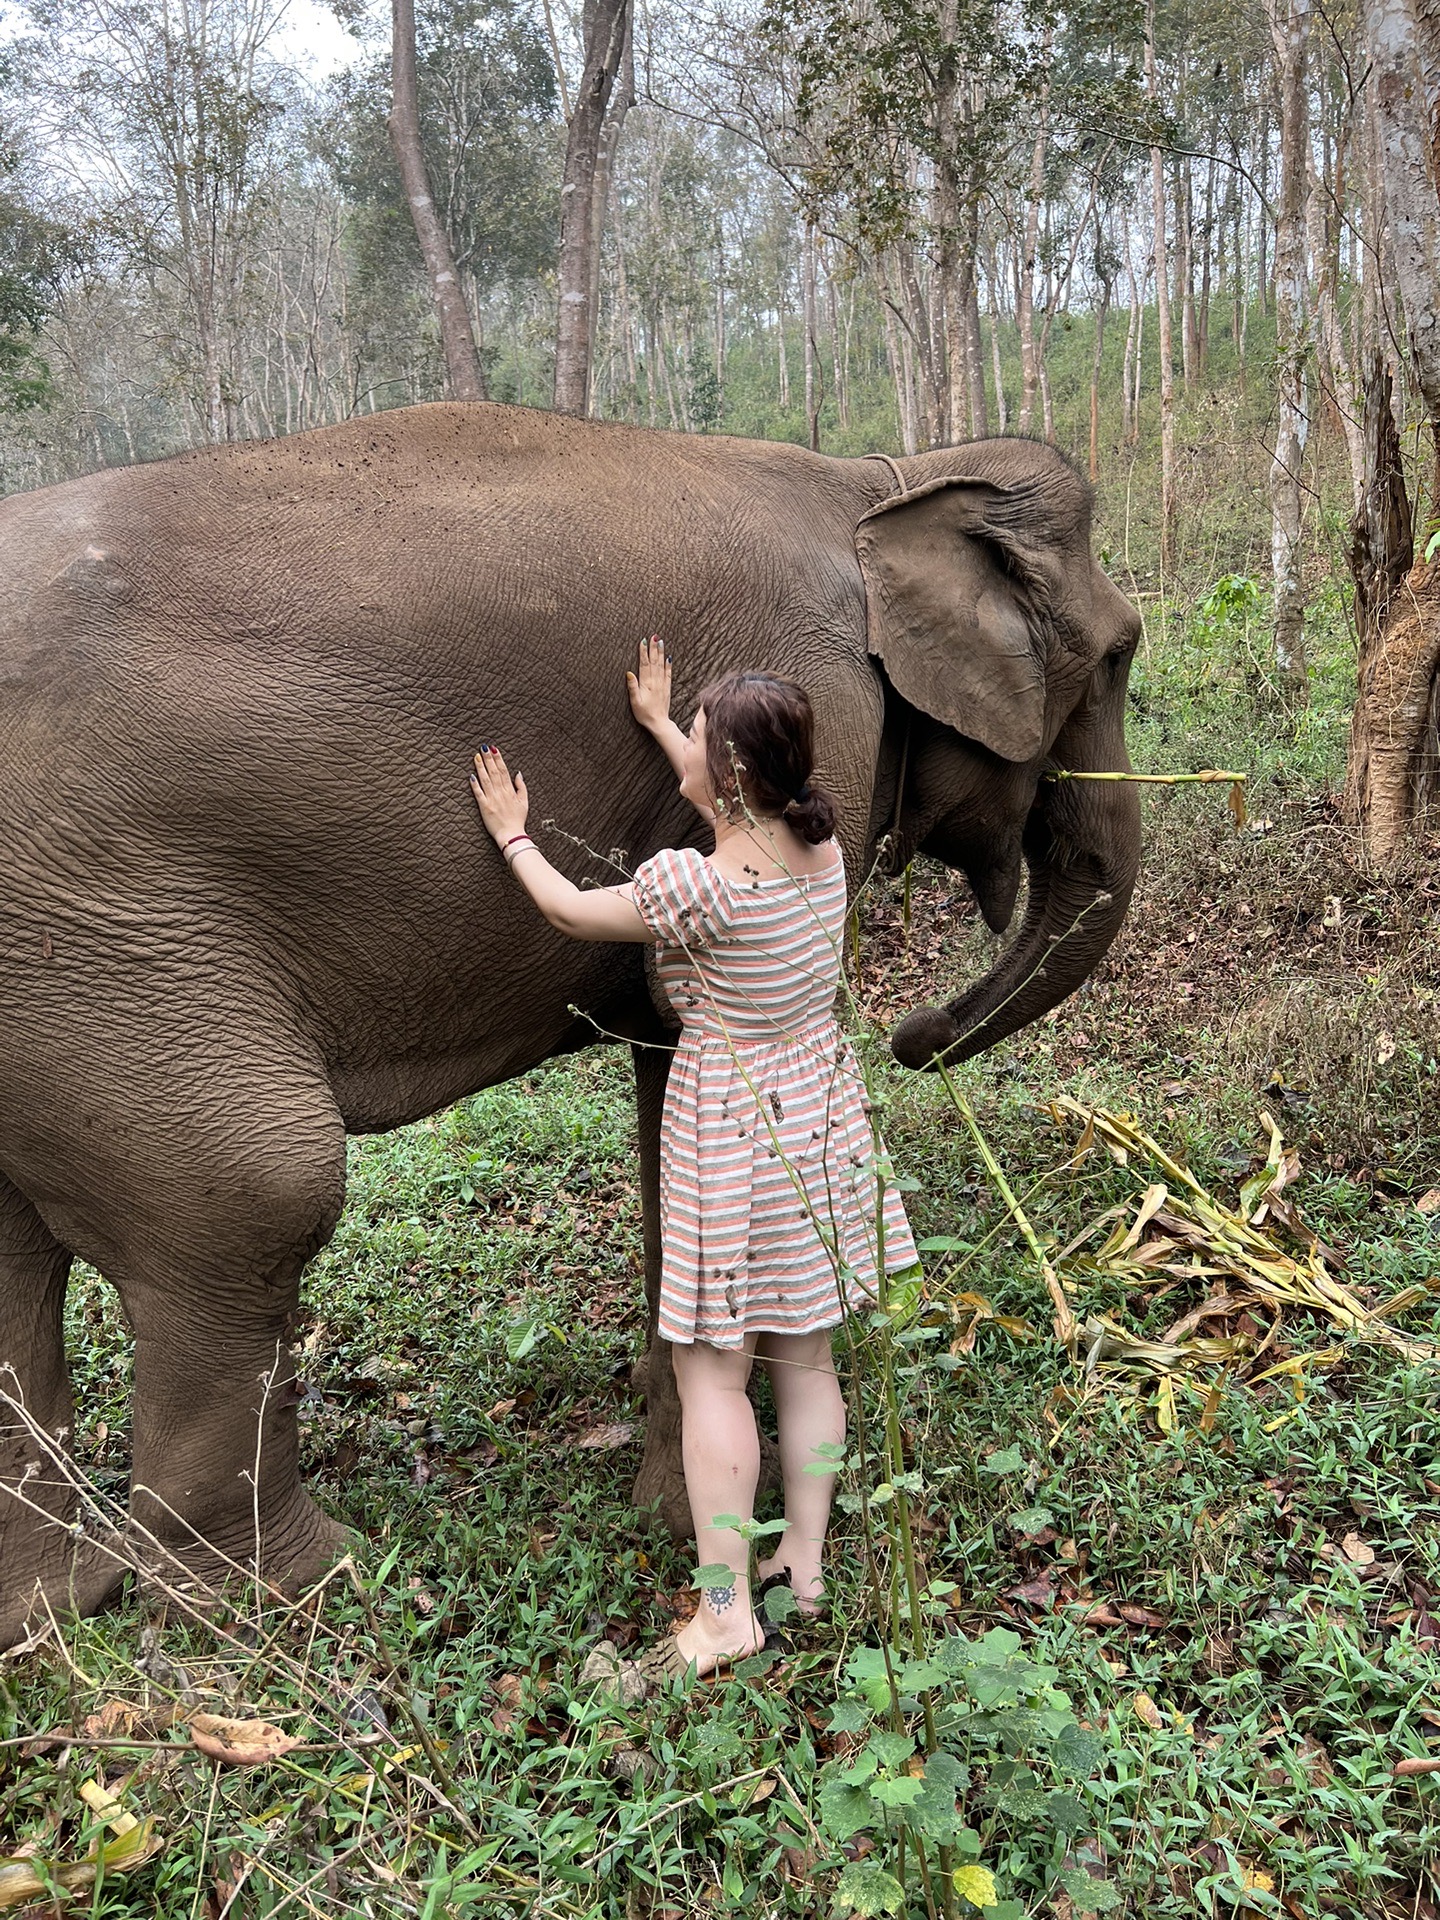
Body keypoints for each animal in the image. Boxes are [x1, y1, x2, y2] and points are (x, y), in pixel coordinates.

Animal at [0, 397, 1144, 1643]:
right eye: (1123, 653)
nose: (918, 1033)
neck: (877, 478)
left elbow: (670, 1051)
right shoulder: (824, 689)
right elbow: (695, 1018)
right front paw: (685, 1516)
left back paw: (56, 1611)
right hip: (99, 942)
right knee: (255, 1192)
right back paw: (305, 1592)